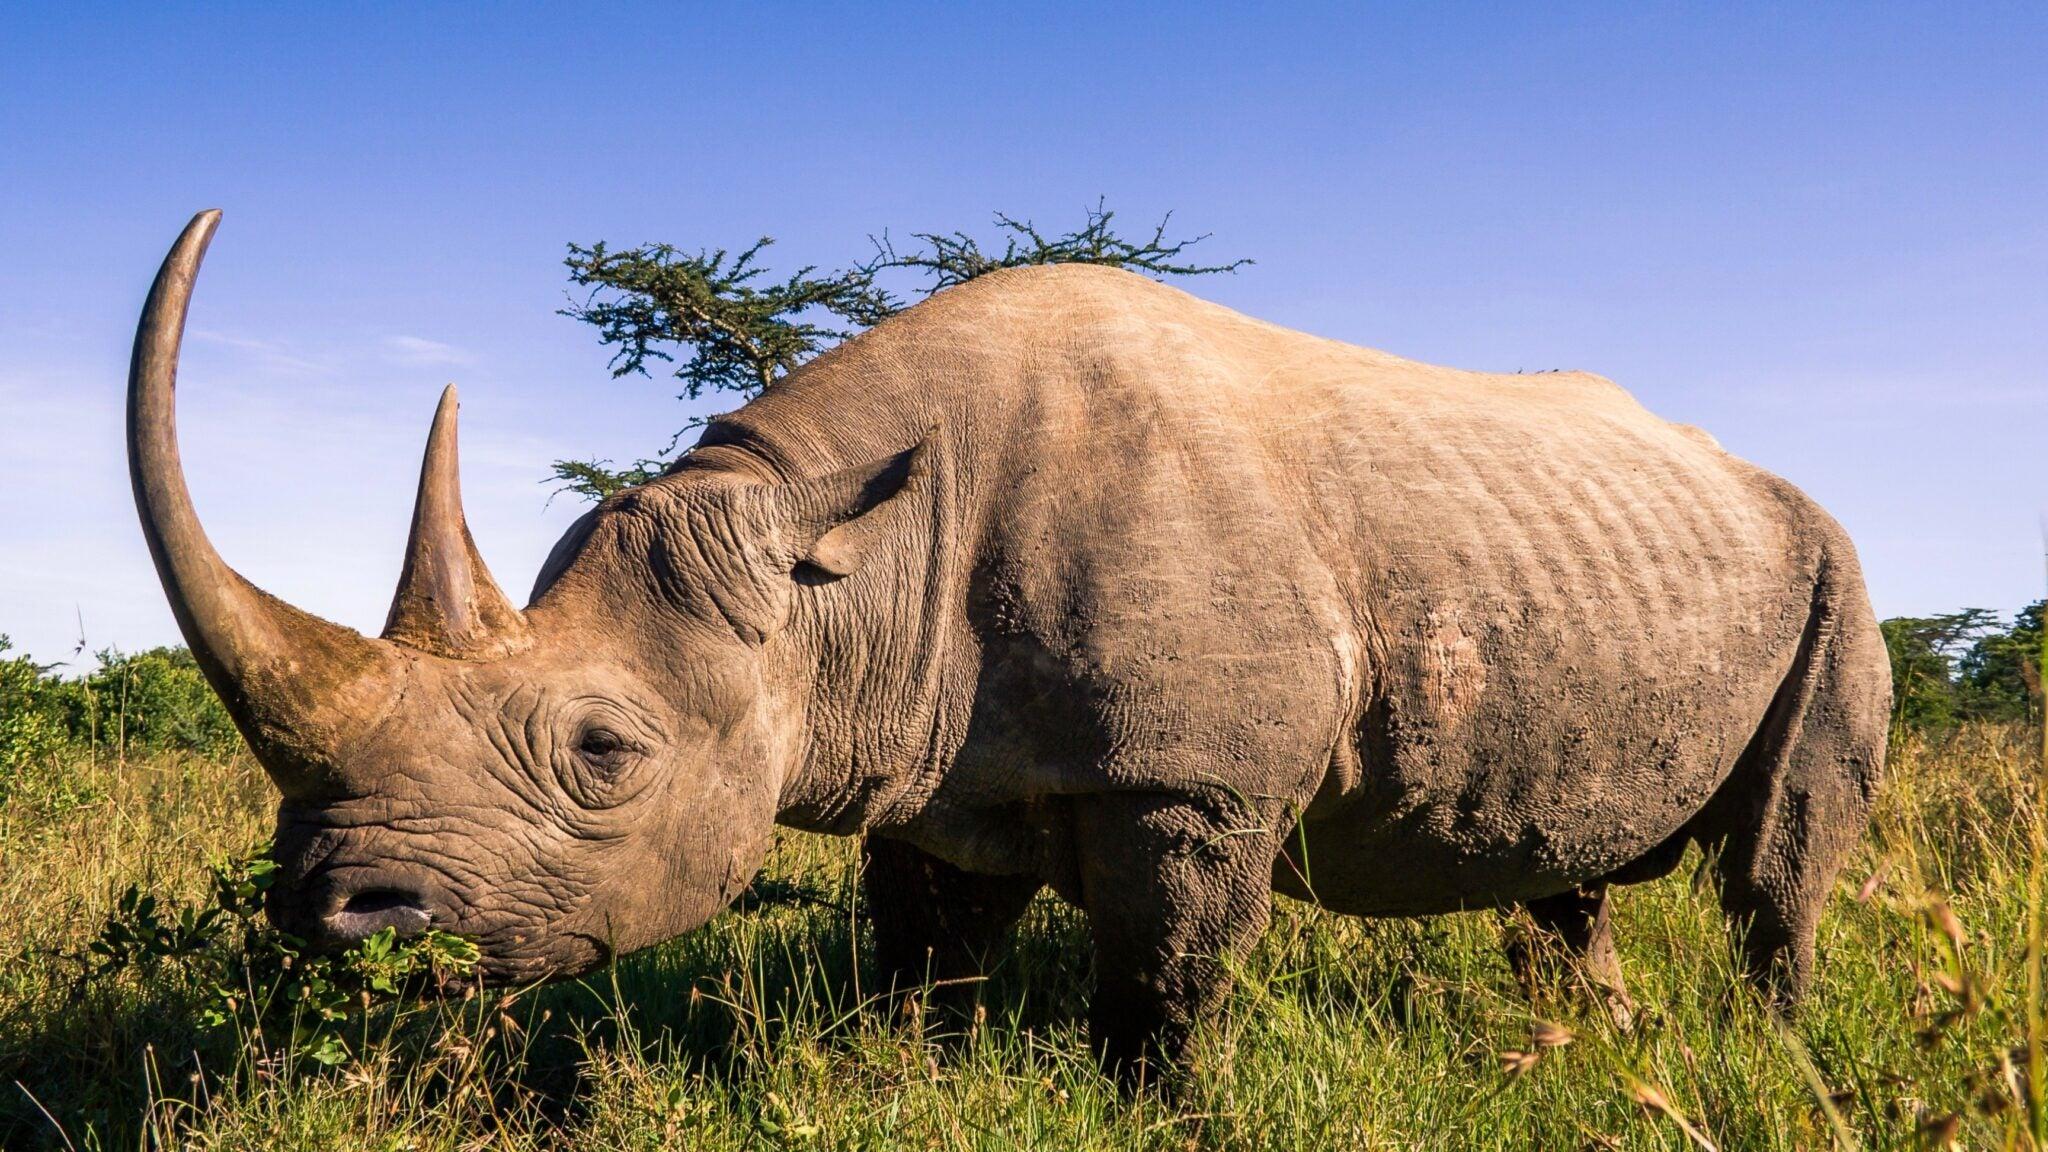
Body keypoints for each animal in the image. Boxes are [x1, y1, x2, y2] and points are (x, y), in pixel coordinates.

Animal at [128, 210, 1889, 1077]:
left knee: (1778, 857)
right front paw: (909, 1085)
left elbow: (1164, 990)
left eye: (604, 752)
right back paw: (1595, 1047)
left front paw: (1166, 1111)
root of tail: (1761, 476)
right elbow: (914, 972)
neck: (836, 575)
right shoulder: (925, 769)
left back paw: (1764, 1053)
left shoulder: (1192, 781)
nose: (333, 916)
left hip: (1834, 566)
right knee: (1559, 861)